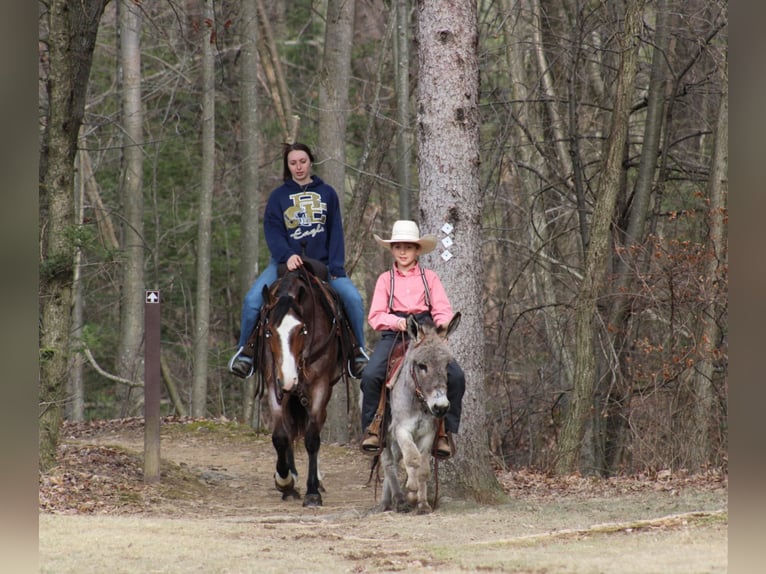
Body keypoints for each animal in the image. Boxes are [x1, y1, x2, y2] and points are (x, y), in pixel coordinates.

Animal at [258, 268, 348, 506]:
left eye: (302, 330)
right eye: (269, 331)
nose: (289, 380)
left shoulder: (320, 386)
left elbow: (312, 437)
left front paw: (313, 491)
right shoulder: (274, 384)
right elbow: (281, 436)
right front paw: (285, 481)